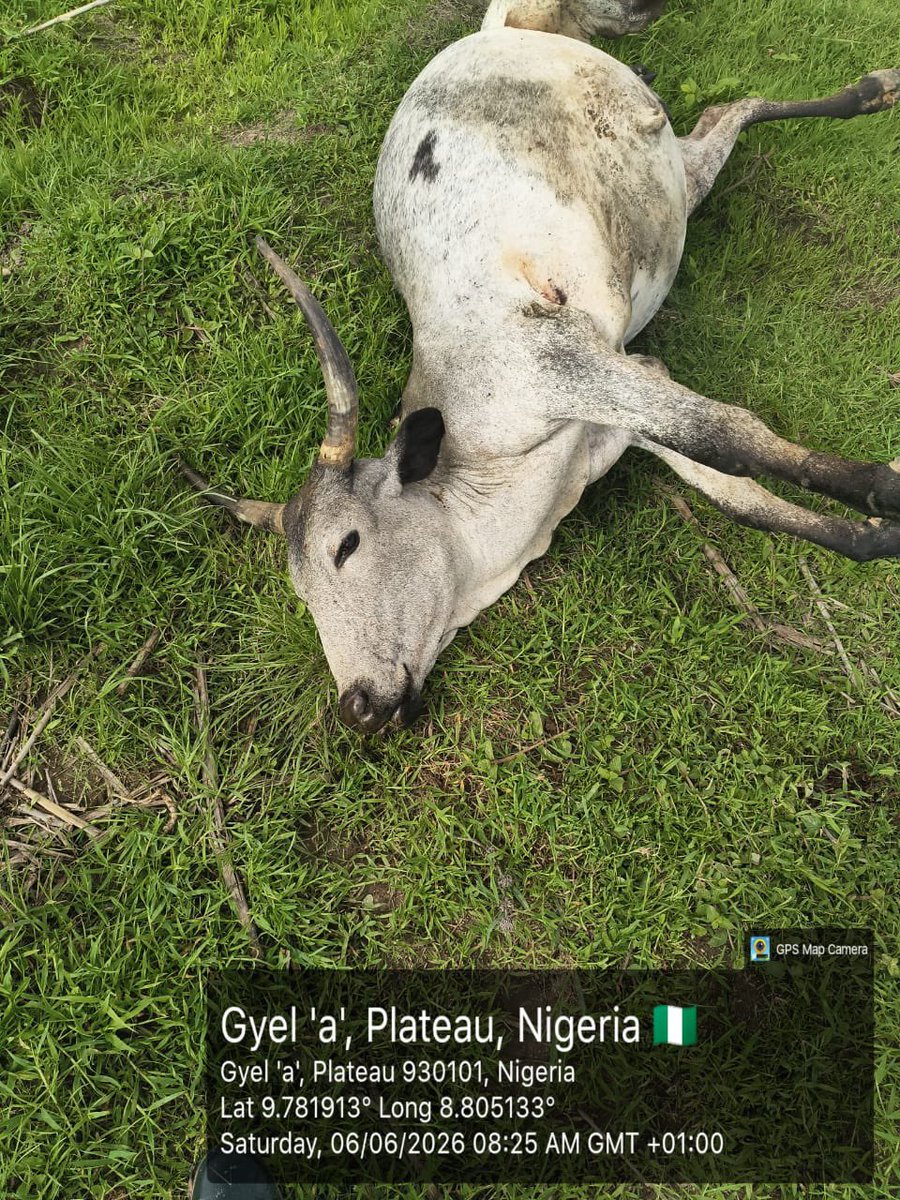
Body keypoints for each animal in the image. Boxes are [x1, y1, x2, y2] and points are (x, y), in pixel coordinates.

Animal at [182, 0, 900, 733]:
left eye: (346, 544)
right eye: (301, 593)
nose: (356, 706)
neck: (493, 461)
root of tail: (498, 30)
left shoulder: (560, 363)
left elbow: (729, 437)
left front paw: (885, 491)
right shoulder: (628, 398)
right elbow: (735, 491)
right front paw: (873, 535)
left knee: (731, 104)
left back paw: (870, 90)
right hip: (676, 175)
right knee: (726, 112)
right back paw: (870, 92)